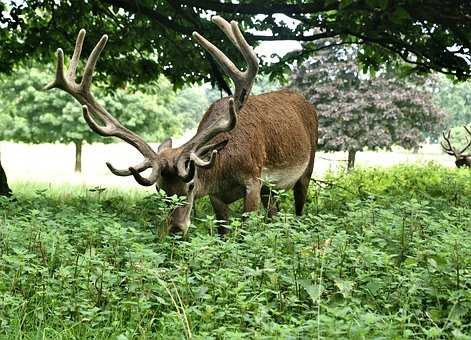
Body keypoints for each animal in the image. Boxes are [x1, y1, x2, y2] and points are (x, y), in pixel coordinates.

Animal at [45, 15, 318, 234]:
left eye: (190, 184)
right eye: (160, 190)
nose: (175, 229)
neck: (224, 165)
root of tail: (304, 101)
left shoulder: (253, 179)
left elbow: (246, 230)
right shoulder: (218, 196)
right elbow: (224, 232)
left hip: (307, 167)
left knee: (299, 207)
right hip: (271, 189)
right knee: (274, 213)